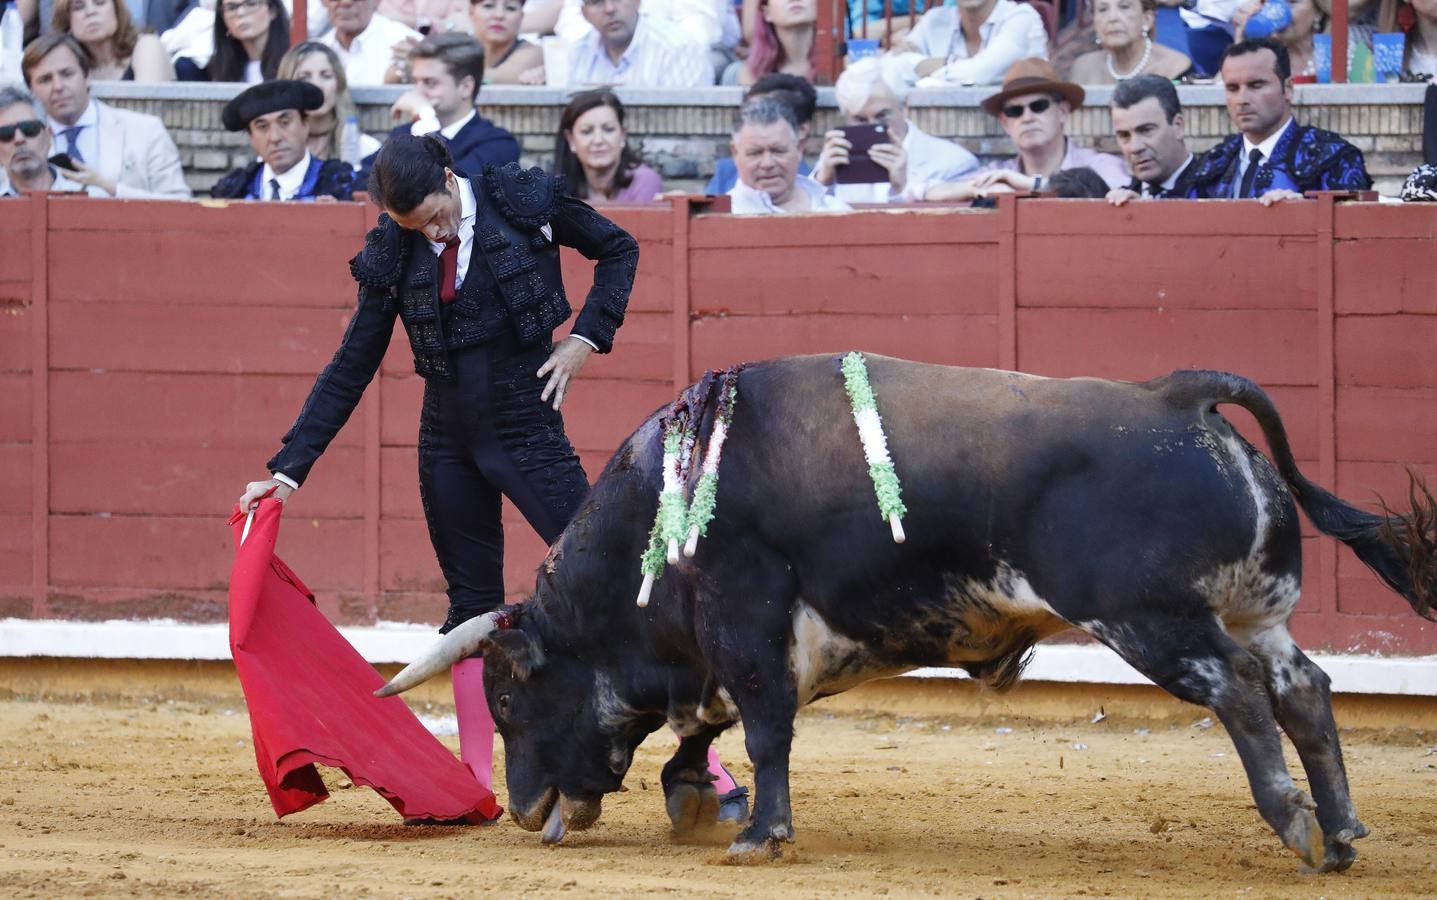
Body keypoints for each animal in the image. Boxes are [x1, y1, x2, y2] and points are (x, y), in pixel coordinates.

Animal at [376, 355, 1431, 868]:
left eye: (507, 703)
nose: (522, 811)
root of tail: (1179, 399)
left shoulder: (745, 618)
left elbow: (761, 725)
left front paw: (757, 834)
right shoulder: (766, 645)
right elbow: (719, 721)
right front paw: (693, 800)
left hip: (1153, 622)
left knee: (1242, 698)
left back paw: (1295, 827)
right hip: (1255, 613)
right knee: (1304, 692)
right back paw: (1341, 831)